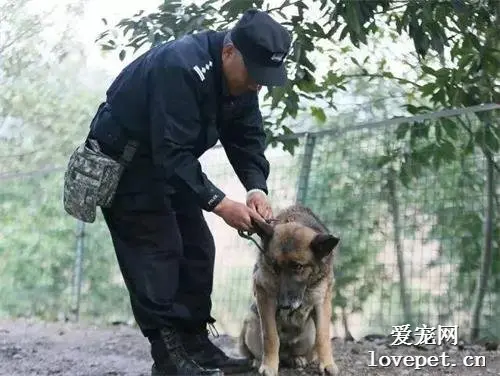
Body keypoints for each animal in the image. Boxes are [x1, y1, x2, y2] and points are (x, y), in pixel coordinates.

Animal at [238, 206, 340, 376]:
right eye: (275, 267)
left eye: (298, 266)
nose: (284, 305)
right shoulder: (264, 296)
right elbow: (270, 336)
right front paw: (269, 365)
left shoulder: (322, 302)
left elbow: (323, 335)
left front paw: (327, 364)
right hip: (251, 321)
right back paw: (258, 361)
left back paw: (297, 358)